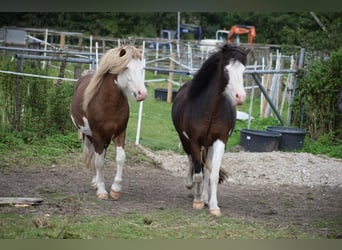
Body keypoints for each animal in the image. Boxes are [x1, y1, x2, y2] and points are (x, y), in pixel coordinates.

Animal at [71, 45, 147, 200]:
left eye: (141, 68)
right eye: (126, 68)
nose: (142, 93)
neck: (109, 105)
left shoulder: (120, 133)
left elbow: (120, 158)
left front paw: (115, 189)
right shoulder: (97, 135)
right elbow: (99, 162)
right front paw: (101, 190)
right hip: (89, 136)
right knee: (93, 155)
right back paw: (95, 182)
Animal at [171, 44, 248, 216]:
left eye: (243, 70)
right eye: (226, 70)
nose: (240, 97)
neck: (211, 110)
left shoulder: (220, 141)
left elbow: (212, 175)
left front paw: (213, 205)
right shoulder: (194, 141)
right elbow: (198, 174)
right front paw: (197, 200)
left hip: (209, 145)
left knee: (207, 169)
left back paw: (206, 197)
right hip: (185, 140)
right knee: (191, 161)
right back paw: (191, 186)